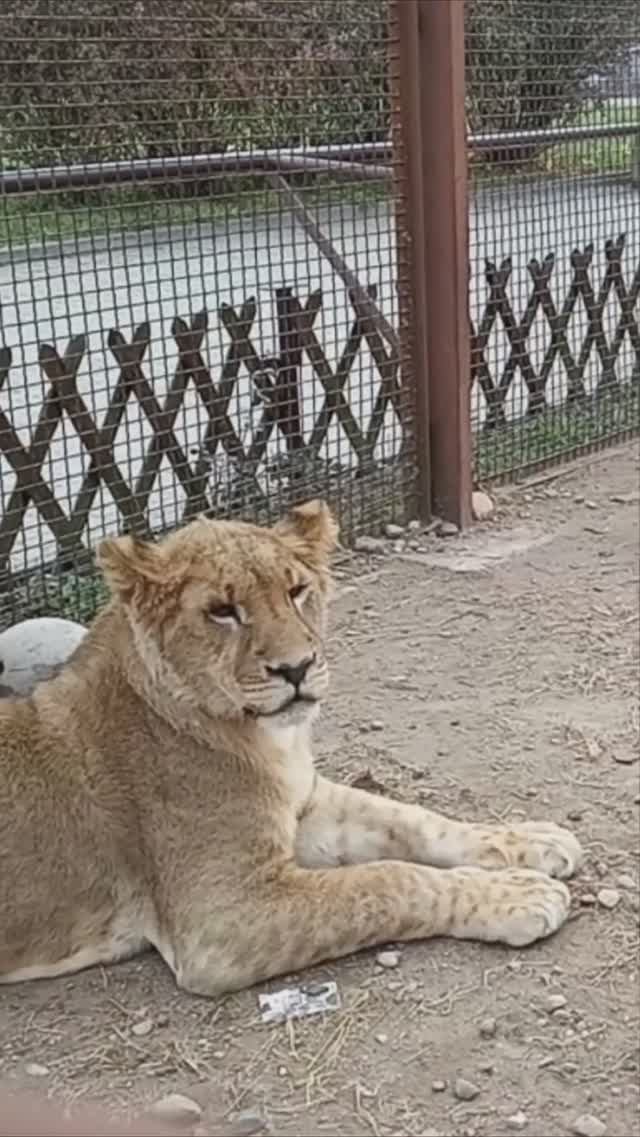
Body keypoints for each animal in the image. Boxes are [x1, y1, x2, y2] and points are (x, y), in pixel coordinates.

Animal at [0, 500, 583, 996]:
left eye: (297, 590)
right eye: (222, 610)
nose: (297, 668)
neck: (267, 741)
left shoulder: (307, 803)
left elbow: (414, 821)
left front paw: (532, 840)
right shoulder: (221, 920)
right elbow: (388, 881)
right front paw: (521, 895)